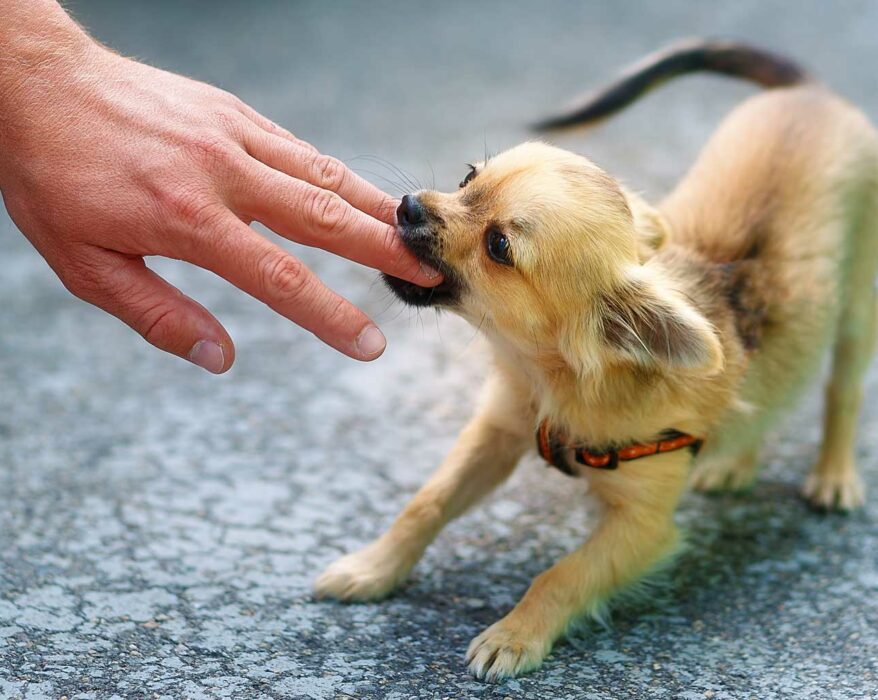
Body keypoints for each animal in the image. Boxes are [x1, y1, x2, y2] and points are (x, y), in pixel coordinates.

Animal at [312, 41, 876, 680]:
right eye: (467, 177)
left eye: (499, 247)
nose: (407, 206)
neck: (549, 378)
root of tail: (812, 94)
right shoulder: (497, 433)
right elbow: (424, 504)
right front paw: (372, 568)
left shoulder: (643, 528)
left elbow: (563, 574)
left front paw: (516, 634)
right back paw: (733, 461)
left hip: (857, 311)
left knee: (842, 392)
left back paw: (833, 476)